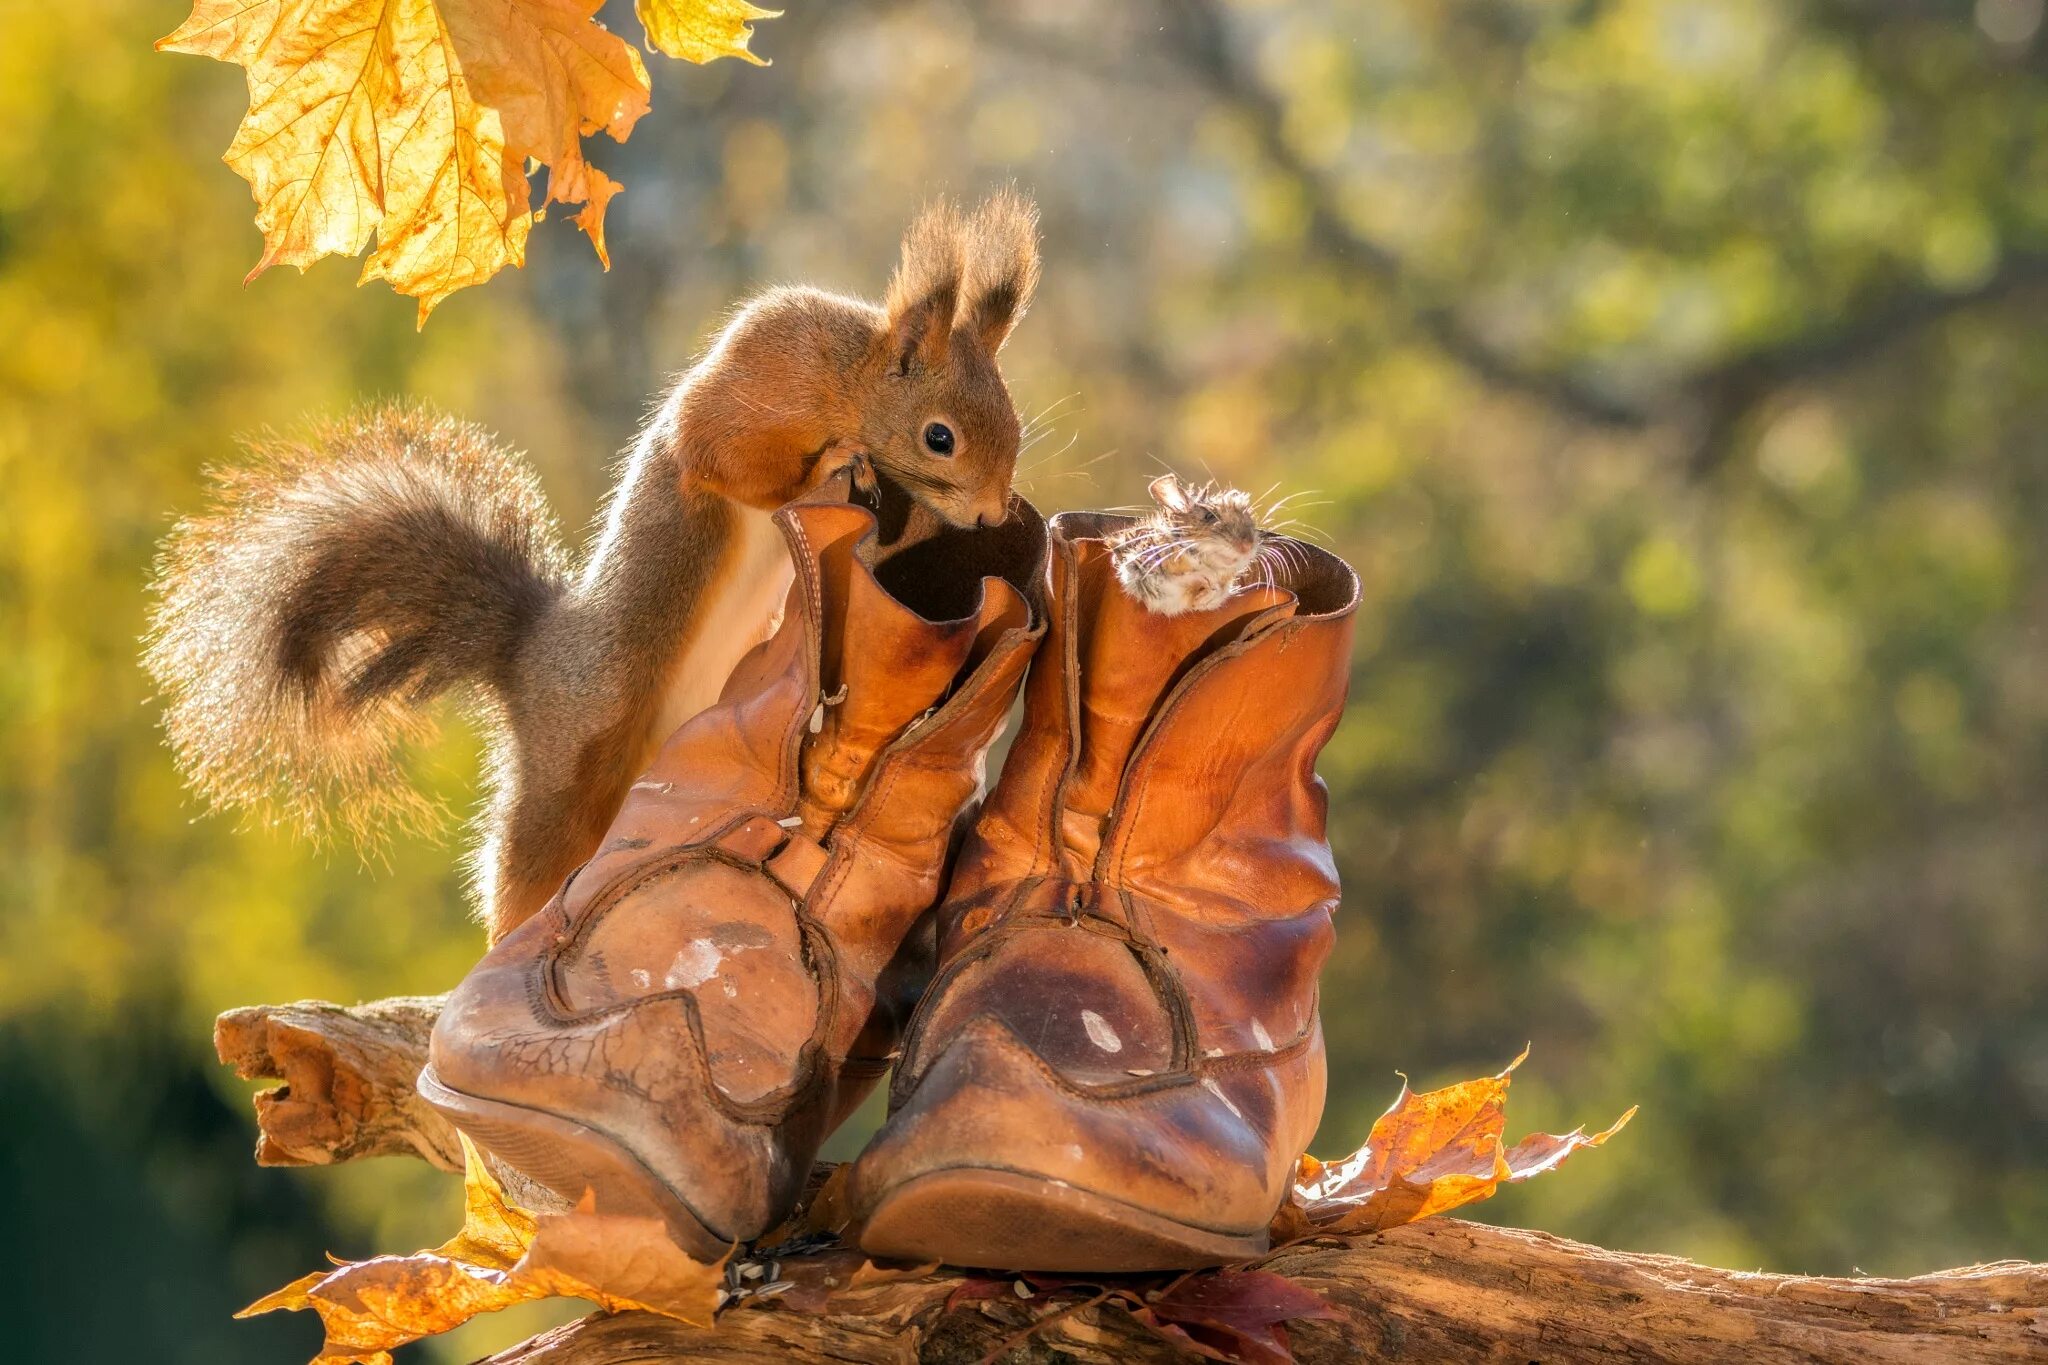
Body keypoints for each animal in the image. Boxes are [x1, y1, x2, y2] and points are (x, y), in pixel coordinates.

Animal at [144, 192, 1040, 941]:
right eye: (939, 437)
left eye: (1014, 423)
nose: (994, 515)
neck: (848, 377)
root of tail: (529, 658)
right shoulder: (756, 384)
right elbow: (722, 455)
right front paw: (835, 464)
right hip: (576, 758)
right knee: (527, 867)